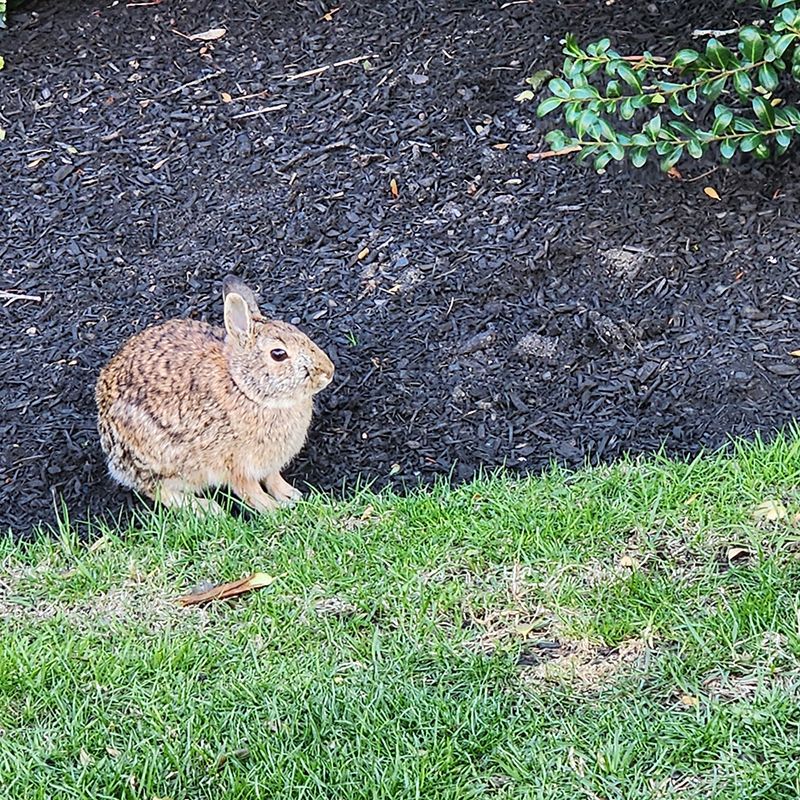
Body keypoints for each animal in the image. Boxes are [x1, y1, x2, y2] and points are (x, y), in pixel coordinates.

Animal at [95, 276, 335, 515]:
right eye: (278, 354)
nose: (328, 371)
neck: (243, 388)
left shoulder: (268, 464)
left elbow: (273, 479)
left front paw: (291, 496)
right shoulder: (235, 465)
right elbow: (249, 491)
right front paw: (272, 510)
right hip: (163, 460)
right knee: (156, 489)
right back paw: (206, 509)